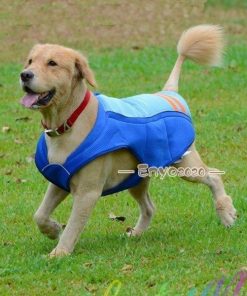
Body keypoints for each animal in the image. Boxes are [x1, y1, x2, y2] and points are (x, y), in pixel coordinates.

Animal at [20, 24, 236, 256]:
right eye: (30, 61)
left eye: (52, 63)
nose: (25, 75)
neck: (69, 121)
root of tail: (169, 93)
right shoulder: (60, 180)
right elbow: (39, 214)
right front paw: (52, 230)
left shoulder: (88, 192)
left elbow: (73, 226)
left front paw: (59, 253)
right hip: (136, 178)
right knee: (149, 208)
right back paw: (137, 233)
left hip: (186, 165)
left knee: (214, 176)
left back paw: (227, 213)